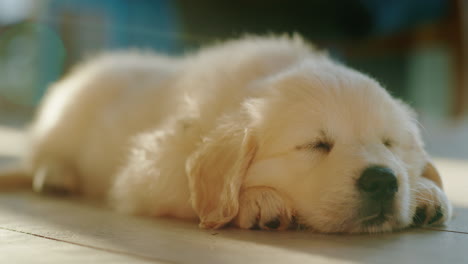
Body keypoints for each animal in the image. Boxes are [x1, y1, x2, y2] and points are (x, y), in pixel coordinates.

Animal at [24, 35, 450, 233]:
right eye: (316, 145)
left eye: (389, 143)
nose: (382, 181)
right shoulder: (150, 168)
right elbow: (186, 189)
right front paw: (257, 201)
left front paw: (426, 193)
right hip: (66, 115)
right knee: (43, 152)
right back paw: (57, 175)